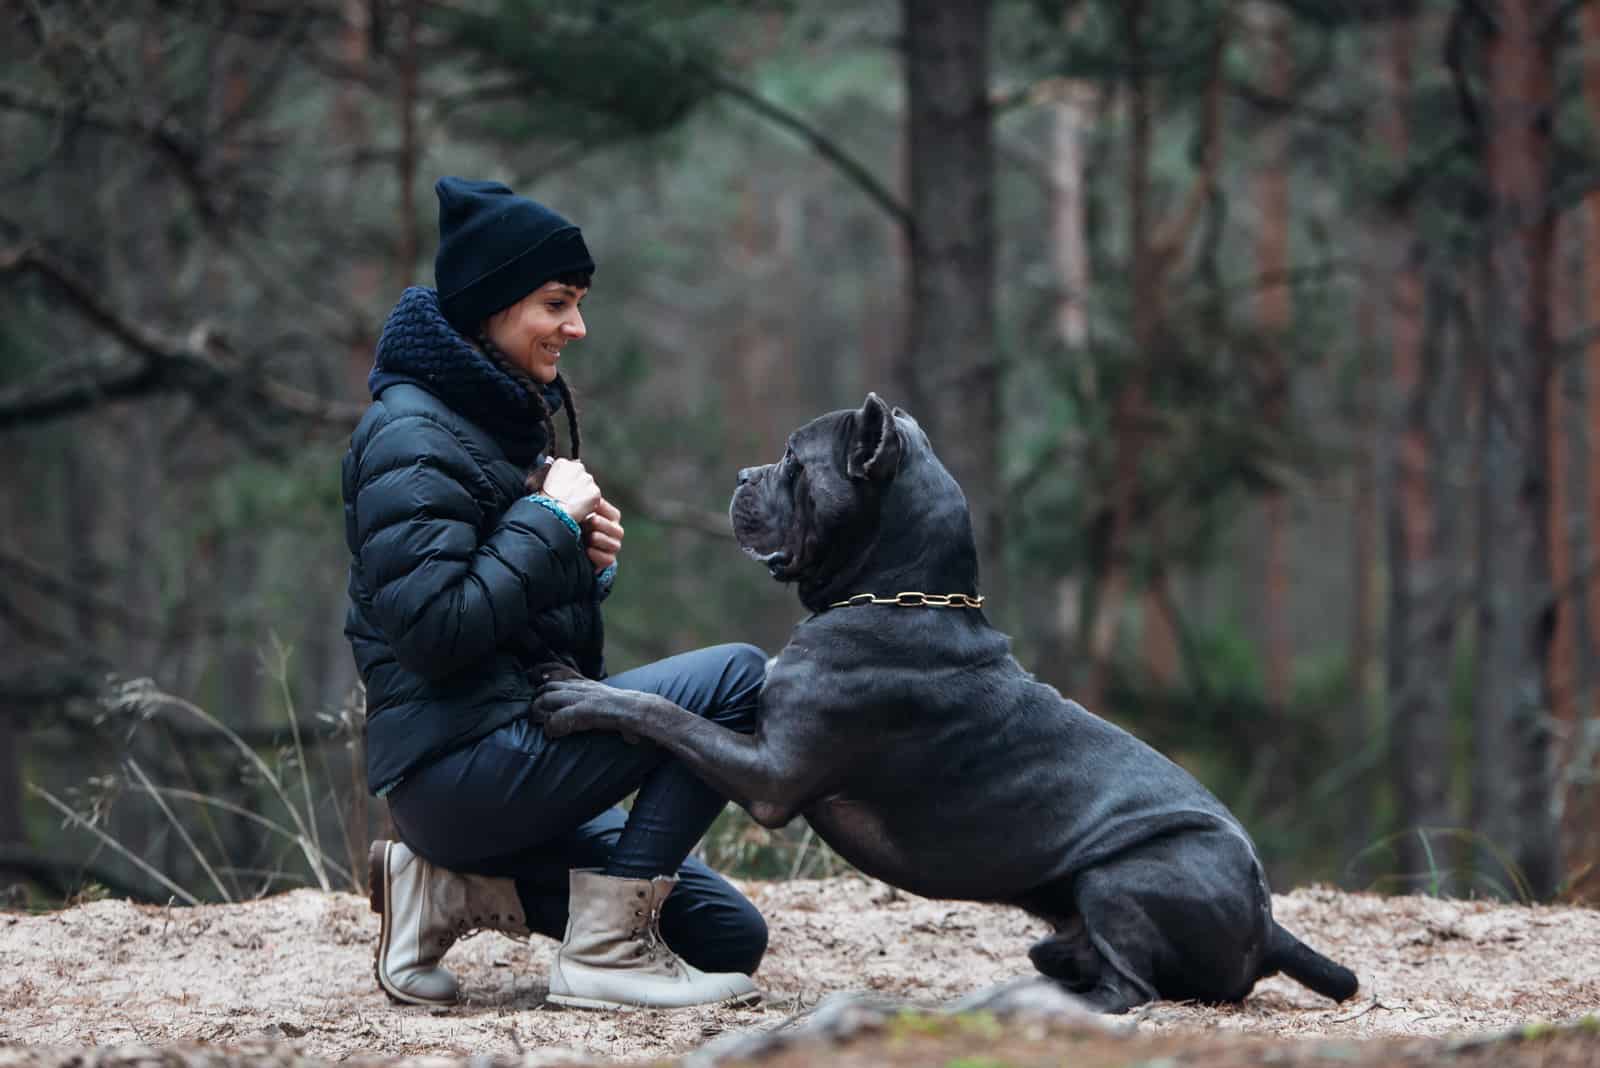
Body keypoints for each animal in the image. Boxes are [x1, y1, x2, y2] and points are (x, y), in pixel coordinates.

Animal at [534, 396, 1350, 1016]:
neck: (899, 596)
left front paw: (581, 694)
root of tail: (1269, 924)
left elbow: (666, 714)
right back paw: (1053, 959)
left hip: (1128, 874)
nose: (743, 475)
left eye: (795, 461)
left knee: (1132, 990)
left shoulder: (770, 773)